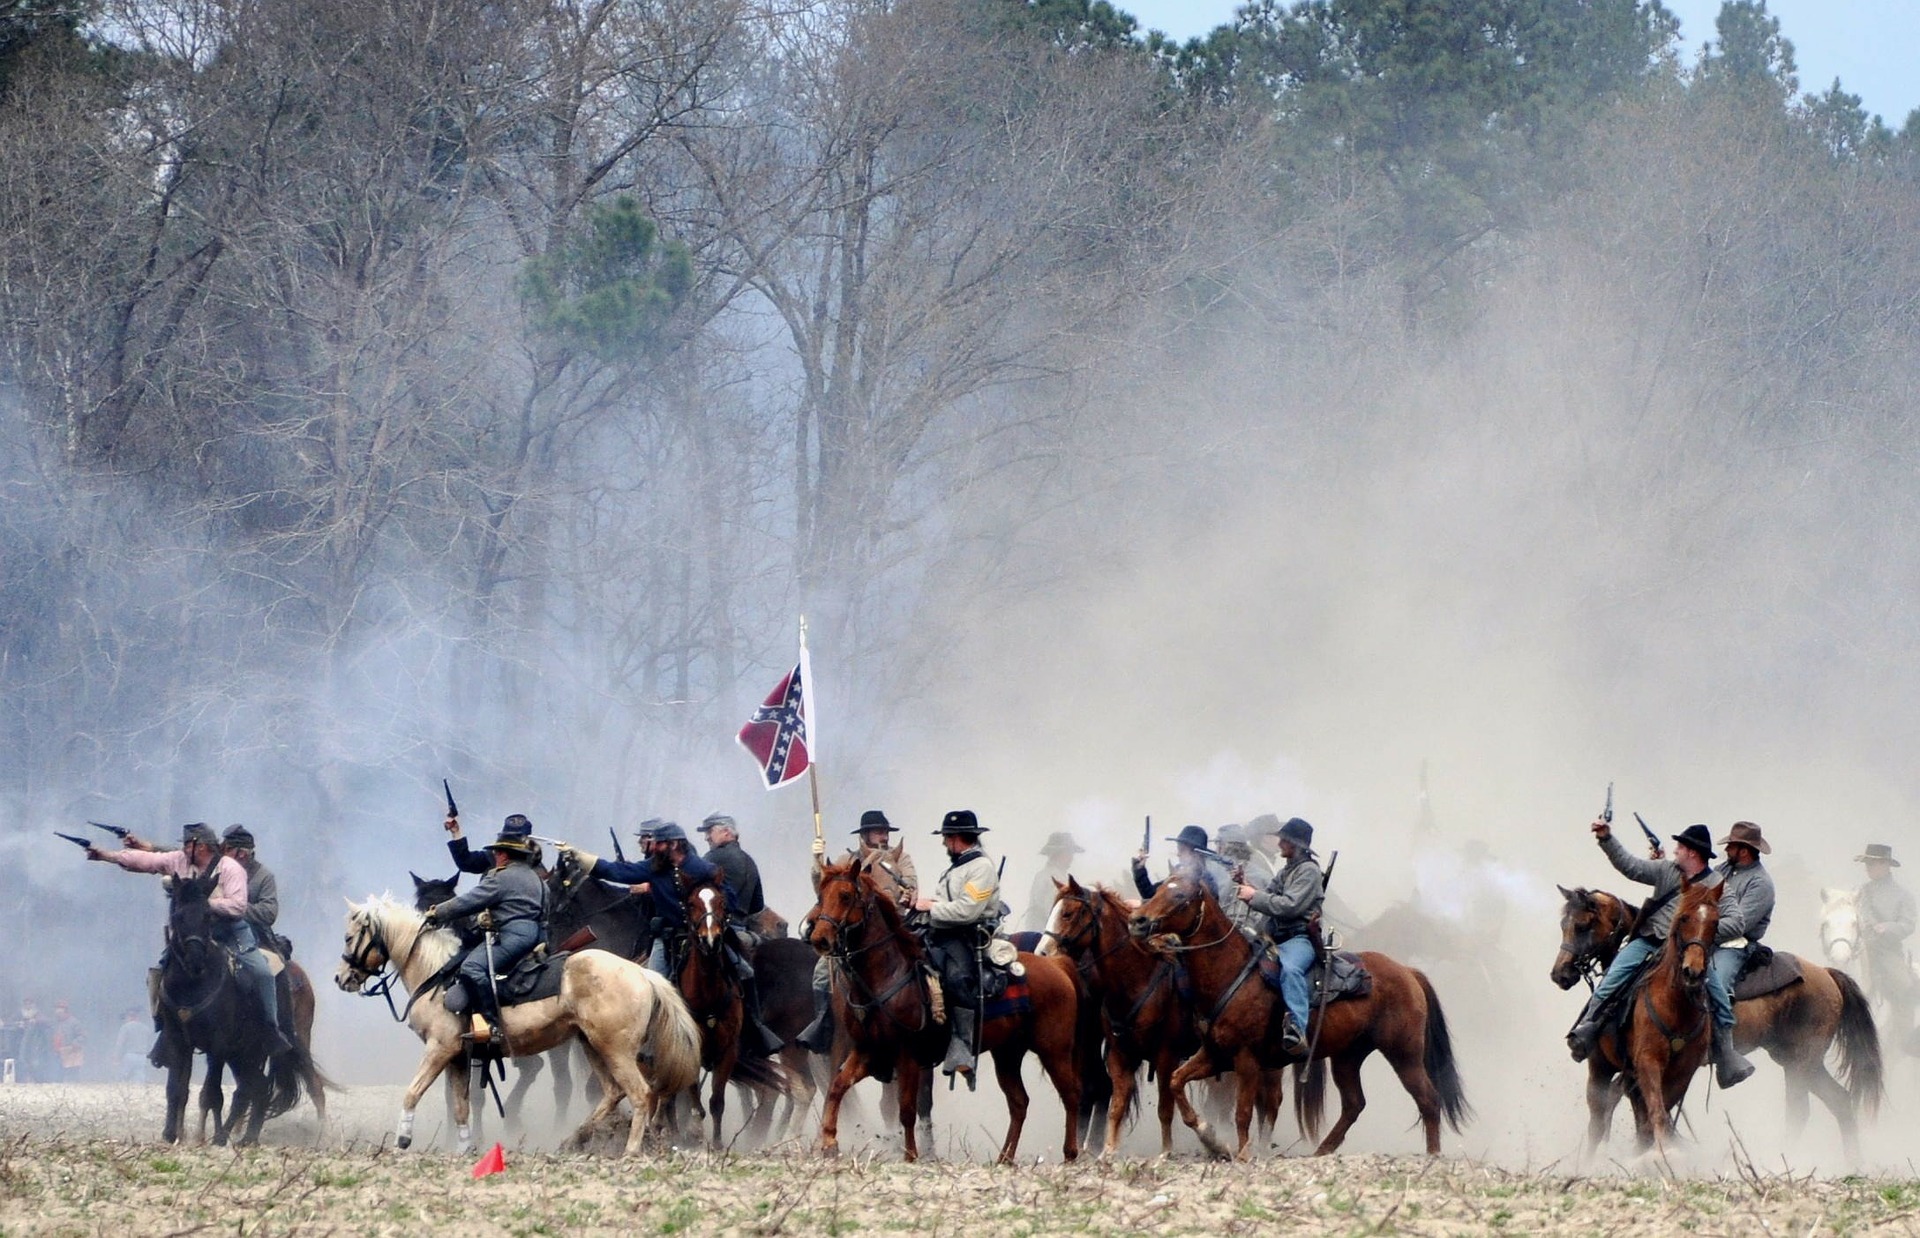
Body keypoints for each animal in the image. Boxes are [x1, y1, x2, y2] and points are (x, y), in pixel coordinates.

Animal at [334, 894, 702, 1151]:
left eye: (350, 937)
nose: (342, 978)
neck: (436, 974)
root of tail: (641, 972)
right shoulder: (458, 1056)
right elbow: (462, 1106)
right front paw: (465, 1149)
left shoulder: (440, 1049)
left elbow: (412, 1093)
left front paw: (403, 1139)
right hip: (592, 1045)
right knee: (613, 1093)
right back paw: (572, 1140)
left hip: (615, 1051)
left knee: (640, 1094)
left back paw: (630, 1149)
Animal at [806, 859, 1090, 1159]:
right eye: (820, 896)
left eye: (845, 896)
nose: (819, 938)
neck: (887, 976)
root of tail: (1057, 965)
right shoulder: (867, 1050)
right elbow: (837, 1088)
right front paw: (829, 1143)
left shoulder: (908, 1055)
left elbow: (907, 1109)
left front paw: (911, 1156)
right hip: (1008, 1054)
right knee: (1019, 1102)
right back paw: (1004, 1158)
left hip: (1054, 1049)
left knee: (1071, 1094)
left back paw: (1070, 1154)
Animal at [1121, 867, 1466, 1159]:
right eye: (1159, 889)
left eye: (1180, 896)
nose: (1137, 921)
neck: (1231, 974)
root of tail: (1407, 972)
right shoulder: (1214, 1054)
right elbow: (1177, 1081)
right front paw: (1211, 1138)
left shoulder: (1246, 1060)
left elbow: (1244, 1111)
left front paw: (1242, 1154)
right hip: (1347, 1056)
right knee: (1354, 1104)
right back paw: (1321, 1152)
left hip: (1404, 1053)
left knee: (1428, 1098)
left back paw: (1433, 1156)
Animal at [1551, 879, 1881, 1159]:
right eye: (1563, 924)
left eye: (1582, 925)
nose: (1560, 974)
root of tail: (1827, 974)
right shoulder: (1632, 1071)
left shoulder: (1611, 1066)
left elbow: (1614, 1117)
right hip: (1799, 1061)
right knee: (1841, 1102)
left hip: (1801, 1063)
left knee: (1799, 1111)